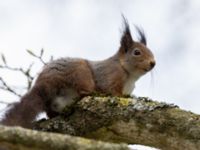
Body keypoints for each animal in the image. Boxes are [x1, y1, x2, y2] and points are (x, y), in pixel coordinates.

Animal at [0, 16, 155, 127]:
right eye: (137, 52)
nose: (153, 63)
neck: (129, 75)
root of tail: (46, 82)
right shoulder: (110, 75)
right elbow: (111, 90)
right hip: (81, 73)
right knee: (83, 91)